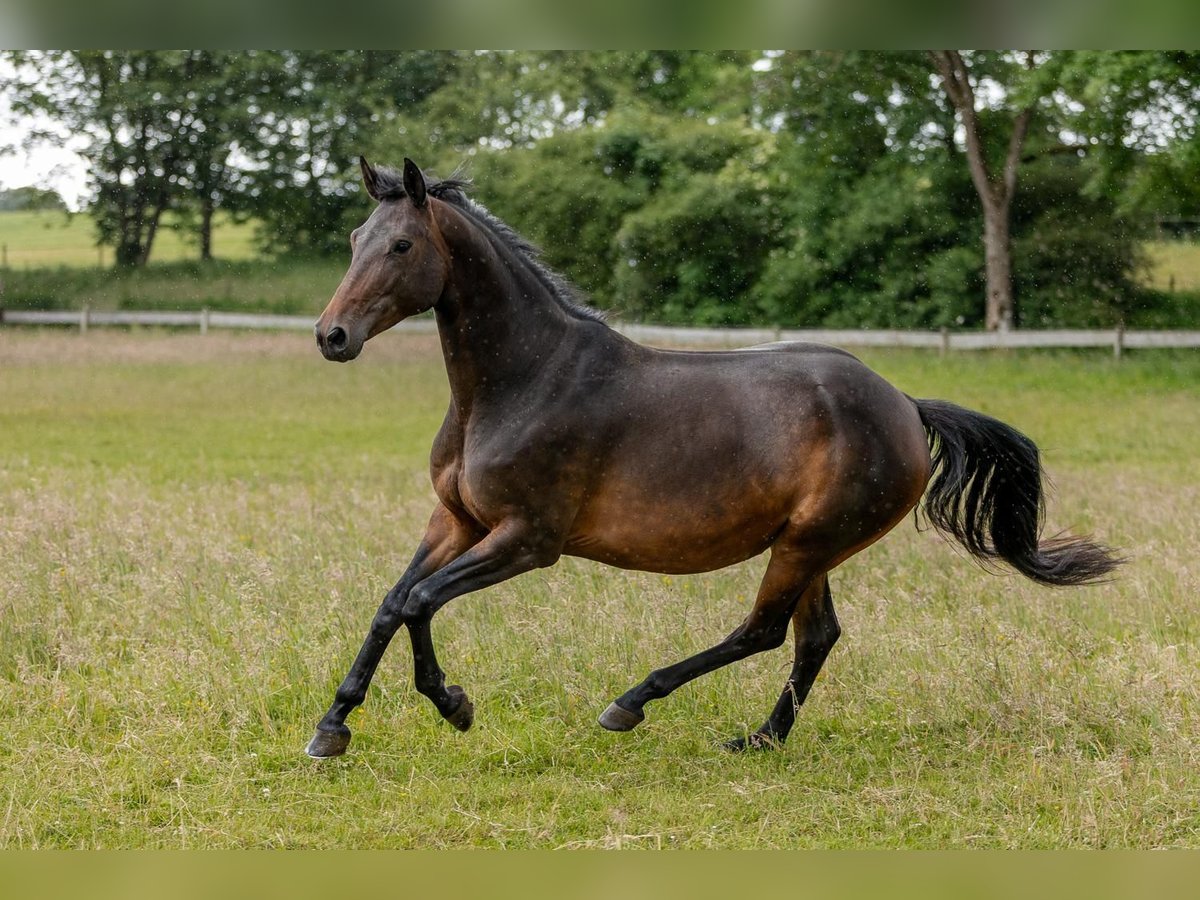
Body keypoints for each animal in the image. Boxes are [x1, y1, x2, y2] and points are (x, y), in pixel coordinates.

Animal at [304, 158, 1118, 758]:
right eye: (352, 237)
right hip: (812, 546)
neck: (524, 381)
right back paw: (761, 739)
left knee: (763, 632)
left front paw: (454, 705)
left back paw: (632, 704)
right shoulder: (456, 521)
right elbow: (393, 601)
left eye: (402, 246)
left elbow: (419, 601)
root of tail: (906, 405)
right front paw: (332, 728)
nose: (331, 336)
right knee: (814, 637)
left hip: (806, 542)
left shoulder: (527, 540)